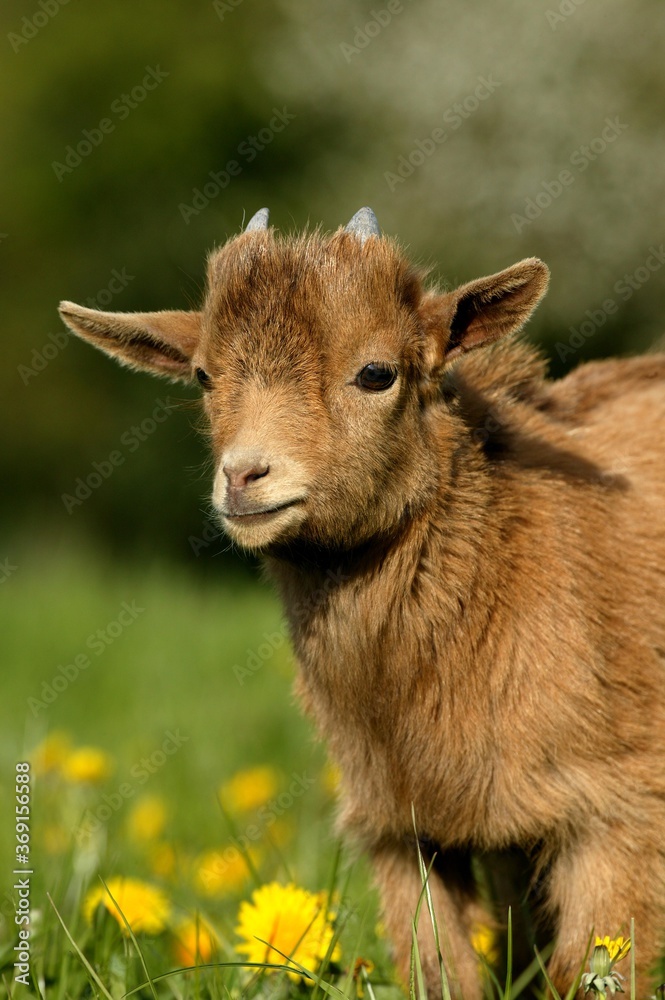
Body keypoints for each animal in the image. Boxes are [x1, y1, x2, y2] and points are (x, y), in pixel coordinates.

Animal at [59, 207, 665, 999]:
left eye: (377, 373)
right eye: (203, 375)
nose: (244, 477)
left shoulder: (617, 813)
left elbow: (591, 969)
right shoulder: (405, 825)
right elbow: (439, 971)